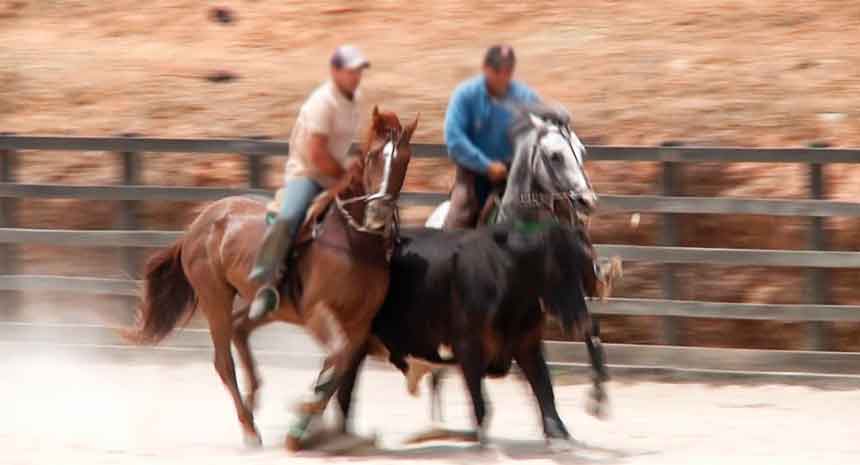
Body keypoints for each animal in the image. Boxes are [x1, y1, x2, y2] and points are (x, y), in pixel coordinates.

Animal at [126, 107, 418, 448]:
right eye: (373, 155)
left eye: (405, 158)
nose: (379, 213)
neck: (352, 241)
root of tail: (199, 224)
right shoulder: (318, 313)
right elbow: (336, 357)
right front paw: (302, 418)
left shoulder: (359, 324)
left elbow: (338, 366)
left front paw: (304, 426)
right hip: (215, 297)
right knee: (223, 361)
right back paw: (249, 428)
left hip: (266, 306)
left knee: (240, 329)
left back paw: (253, 407)